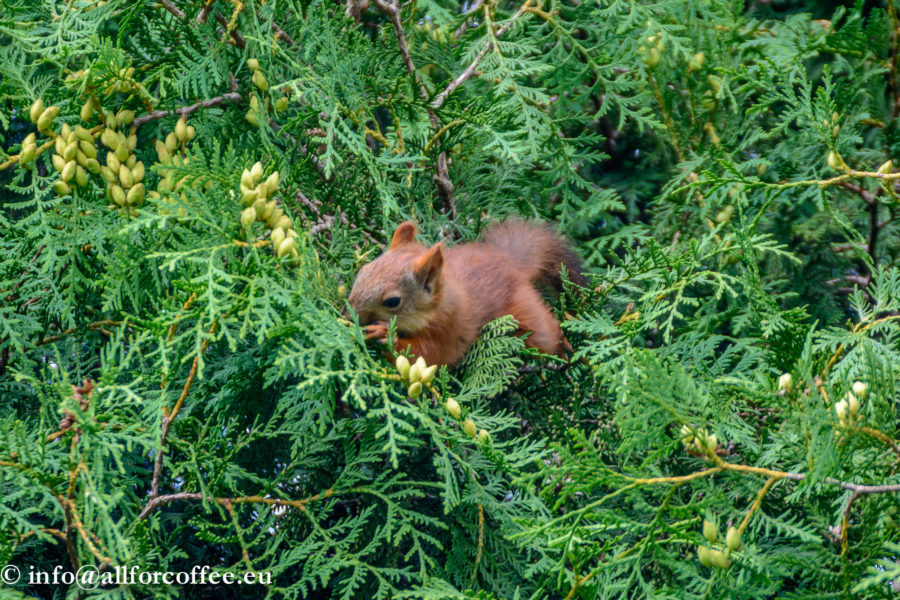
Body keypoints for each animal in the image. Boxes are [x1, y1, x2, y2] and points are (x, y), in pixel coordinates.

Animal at [346, 219, 587, 366]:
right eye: (363, 272)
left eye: (393, 301)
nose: (348, 314)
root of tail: (507, 260)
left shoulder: (447, 329)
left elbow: (425, 355)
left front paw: (384, 334)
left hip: (524, 308)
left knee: (545, 332)